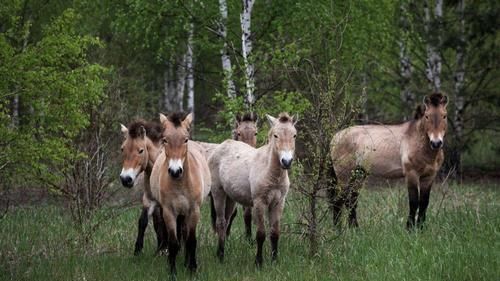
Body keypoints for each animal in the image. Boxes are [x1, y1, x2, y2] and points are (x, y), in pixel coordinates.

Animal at [118, 119, 166, 255]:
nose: (126, 179)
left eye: (141, 150)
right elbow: (143, 221)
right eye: (122, 149)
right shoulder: (149, 200)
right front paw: (138, 250)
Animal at [149, 112, 210, 276]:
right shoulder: (169, 212)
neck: (180, 184)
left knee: (186, 235)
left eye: (185, 139)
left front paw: (192, 269)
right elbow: (173, 243)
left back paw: (187, 263)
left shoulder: (194, 211)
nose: (175, 171)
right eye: (165, 140)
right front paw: (172, 271)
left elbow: (191, 241)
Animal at [208, 112, 296, 264]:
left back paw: (222, 251)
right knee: (220, 222)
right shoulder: (259, 202)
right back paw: (220, 255)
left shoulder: (278, 203)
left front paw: (274, 261)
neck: (270, 172)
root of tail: (222, 145)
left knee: (226, 221)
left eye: (294, 135)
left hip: (231, 198)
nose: (286, 161)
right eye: (276, 135)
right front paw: (258, 262)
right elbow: (260, 234)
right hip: (218, 193)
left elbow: (275, 233)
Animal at [328, 93, 450, 229]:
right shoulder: (411, 174)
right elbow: (414, 202)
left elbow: (424, 203)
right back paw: (338, 229)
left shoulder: (429, 177)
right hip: (344, 177)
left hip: (359, 174)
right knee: (339, 201)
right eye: (427, 116)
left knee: (351, 201)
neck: (418, 141)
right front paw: (410, 228)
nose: (436, 143)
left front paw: (420, 228)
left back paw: (355, 229)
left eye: (444, 115)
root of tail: (335, 137)